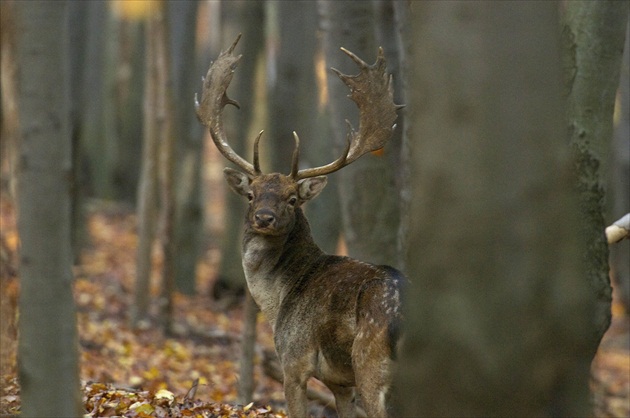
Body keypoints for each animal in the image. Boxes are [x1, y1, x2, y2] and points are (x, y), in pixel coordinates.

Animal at [195, 36, 408, 418]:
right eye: (251, 194)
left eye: (293, 198)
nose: (264, 217)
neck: (277, 301)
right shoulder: (340, 383)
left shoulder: (293, 360)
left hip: (371, 362)